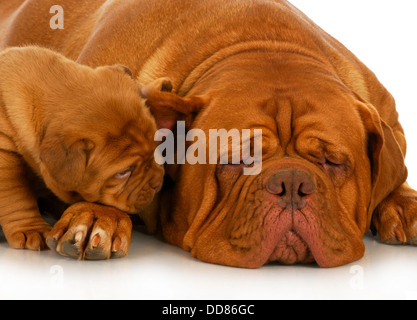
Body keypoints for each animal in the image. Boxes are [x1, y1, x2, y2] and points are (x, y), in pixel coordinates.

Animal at [0, 47, 164, 250]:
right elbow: (16, 196)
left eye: (156, 146)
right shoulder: (5, 154)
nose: (158, 181)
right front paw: (31, 228)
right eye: (123, 172)